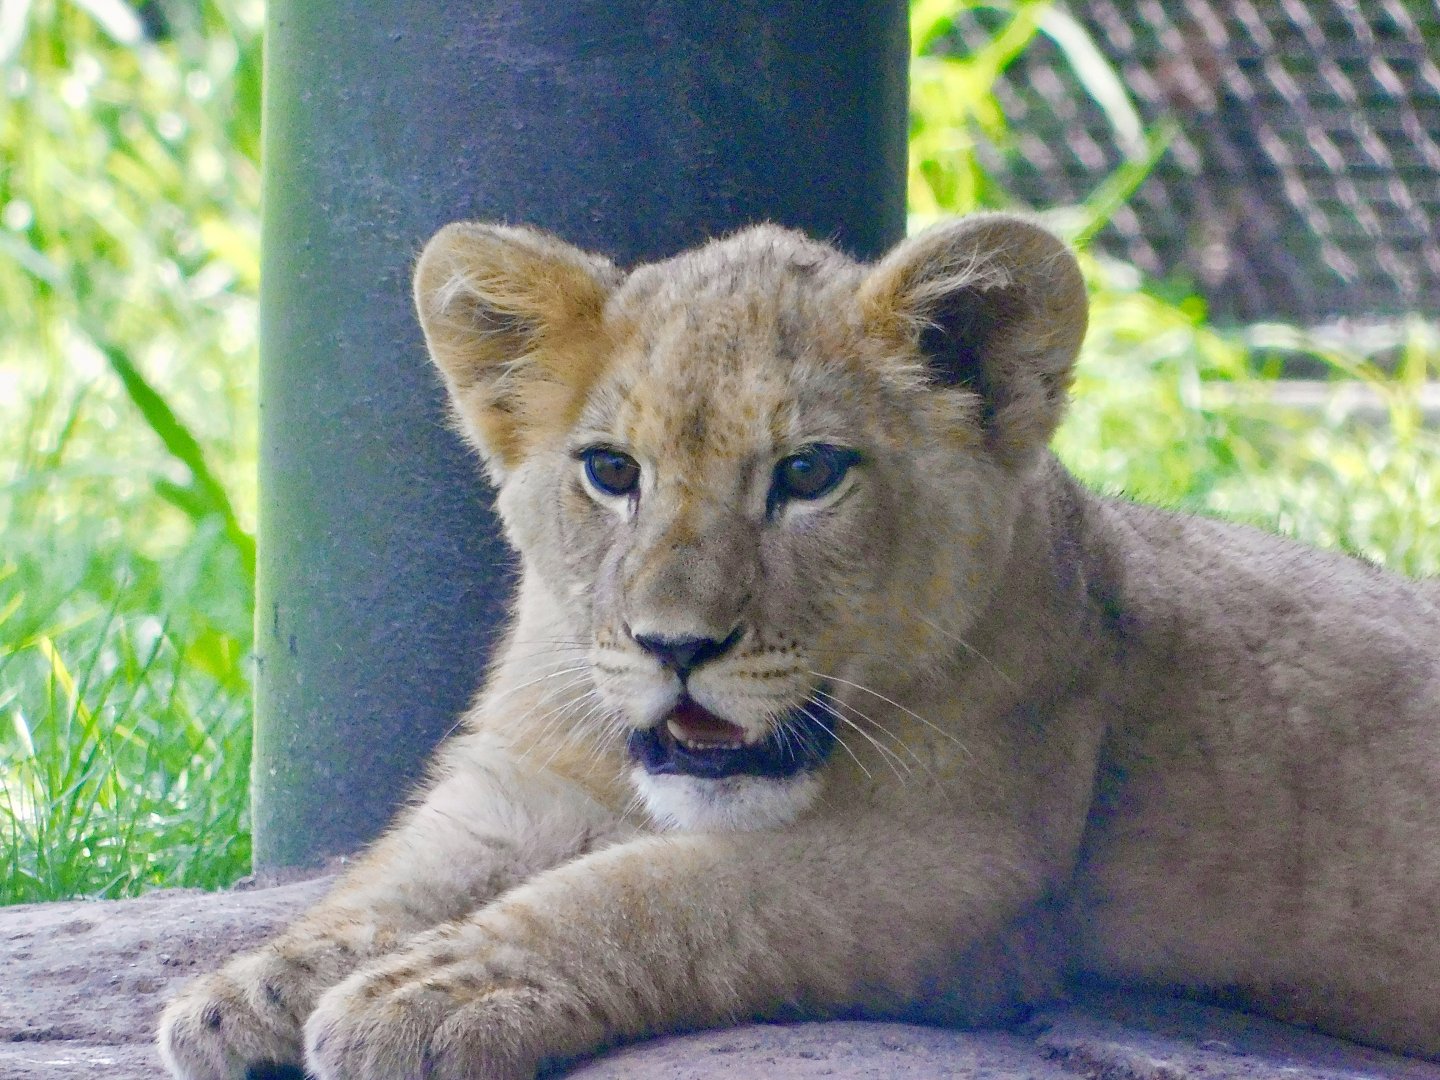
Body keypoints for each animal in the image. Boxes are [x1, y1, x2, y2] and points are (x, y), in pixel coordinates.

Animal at [158, 214, 1440, 1080]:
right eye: (610, 471)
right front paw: (245, 990)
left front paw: (422, 995)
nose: (674, 647)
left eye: (810, 474)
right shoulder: (519, 780)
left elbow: (649, 894)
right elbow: (391, 881)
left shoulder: (953, 863)